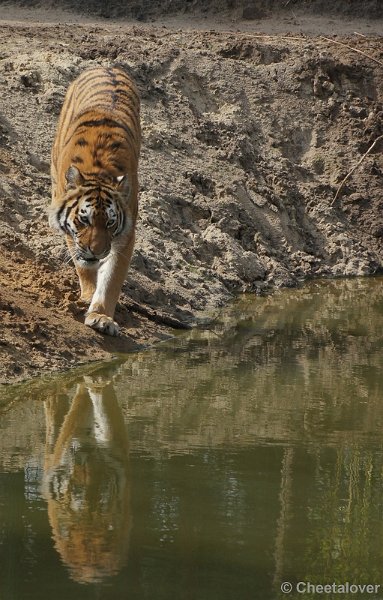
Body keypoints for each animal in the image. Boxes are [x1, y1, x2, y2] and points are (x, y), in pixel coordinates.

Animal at [50, 67, 141, 338]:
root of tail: (106, 66)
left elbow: (111, 279)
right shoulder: (72, 232)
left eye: (110, 223)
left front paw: (101, 317)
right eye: (84, 220)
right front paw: (88, 295)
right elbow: (83, 265)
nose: (97, 251)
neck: (99, 172)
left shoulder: (125, 235)